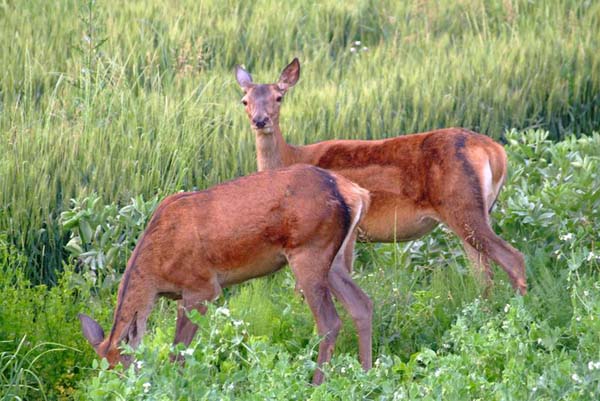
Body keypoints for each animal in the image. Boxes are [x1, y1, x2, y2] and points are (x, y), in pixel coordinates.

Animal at [79, 163, 370, 384]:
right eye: (101, 372)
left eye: (124, 371)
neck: (156, 270)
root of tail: (355, 192)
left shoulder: (201, 287)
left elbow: (179, 351)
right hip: (334, 260)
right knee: (362, 304)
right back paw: (367, 375)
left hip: (309, 250)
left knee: (330, 322)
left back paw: (316, 385)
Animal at [237, 57, 528, 294]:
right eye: (245, 101)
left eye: (279, 97)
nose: (260, 120)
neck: (294, 158)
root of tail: (495, 151)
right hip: (477, 210)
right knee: (483, 271)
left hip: (461, 204)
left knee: (511, 258)